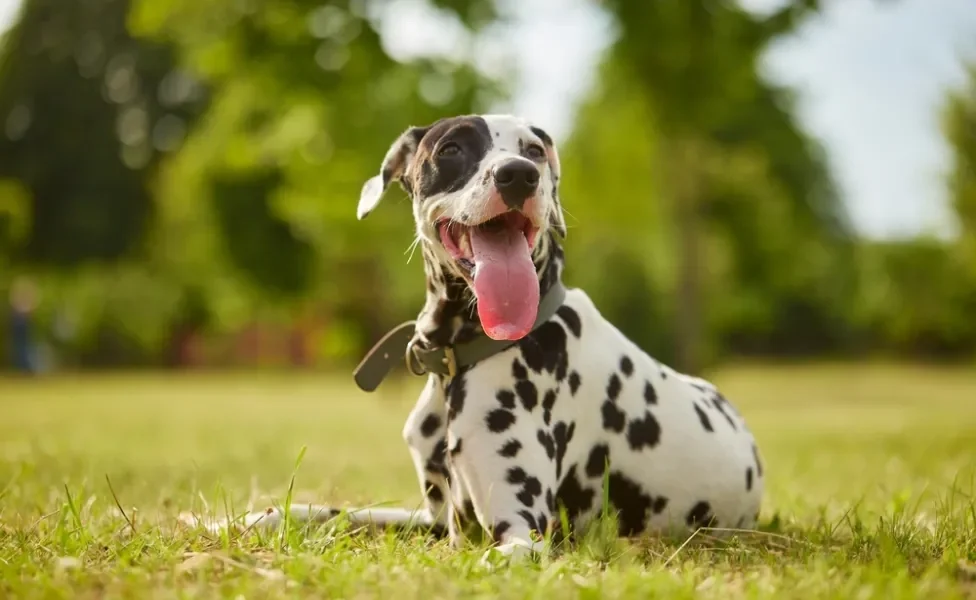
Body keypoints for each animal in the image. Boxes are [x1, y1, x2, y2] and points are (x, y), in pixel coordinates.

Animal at [181, 113, 764, 568]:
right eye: (452, 148)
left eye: (533, 150)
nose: (519, 175)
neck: (462, 358)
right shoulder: (436, 519)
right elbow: (316, 510)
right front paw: (219, 524)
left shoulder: (522, 534)